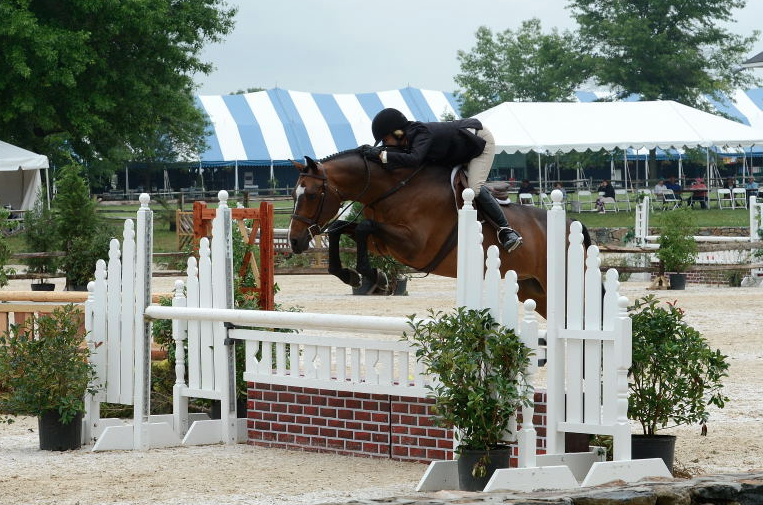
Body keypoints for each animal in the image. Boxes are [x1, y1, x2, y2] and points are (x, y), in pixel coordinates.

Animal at [288, 147, 592, 318]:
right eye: (294, 194)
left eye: (312, 194)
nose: (295, 240)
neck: (392, 187)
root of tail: (571, 223)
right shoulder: (382, 243)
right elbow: (340, 228)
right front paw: (350, 274)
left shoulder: (415, 246)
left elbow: (362, 227)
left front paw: (374, 276)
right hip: (536, 290)